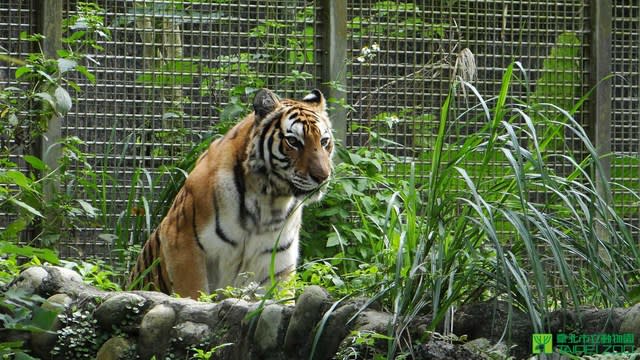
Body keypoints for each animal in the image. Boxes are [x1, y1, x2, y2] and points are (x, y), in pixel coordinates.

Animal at [127, 88, 332, 300]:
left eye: (324, 142)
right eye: (293, 141)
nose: (323, 176)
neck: (269, 201)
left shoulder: (277, 262)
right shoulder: (181, 242)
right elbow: (193, 294)